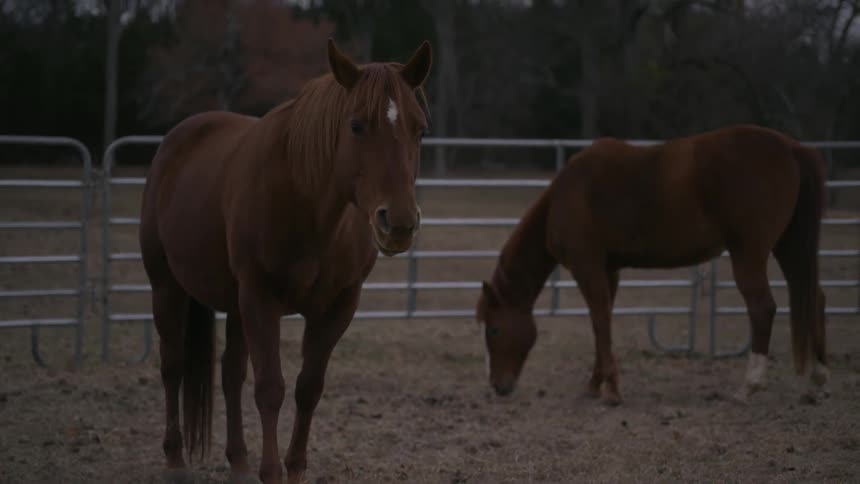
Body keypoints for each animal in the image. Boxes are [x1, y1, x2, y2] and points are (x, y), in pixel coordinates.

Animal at [139, 39, 432, 484]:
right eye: (356, 125)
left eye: (419, 128)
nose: (397, 223)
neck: (308, 207)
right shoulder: (261, 300)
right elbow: (270, 388)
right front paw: (271, 470)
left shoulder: (338, 307)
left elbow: (308, 387)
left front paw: (293, 469)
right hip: (167, 286)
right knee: (173, 364)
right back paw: (175, 460)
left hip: (234, 303)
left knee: (230, 372)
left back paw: (239, 463)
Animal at [476, 124, 830, 406]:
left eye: (494, 329)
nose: (498, 386)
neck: (565, 196)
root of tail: (790, 147)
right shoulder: (609, 270)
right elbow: (602, 321)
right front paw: (596, 383)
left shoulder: (587, 267)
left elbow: (599, 321)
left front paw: (611, 390)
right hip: (789, 247)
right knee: (814, 298)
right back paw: (817, 382)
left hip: (750, 253)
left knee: (762, 307)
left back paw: (749, 386)